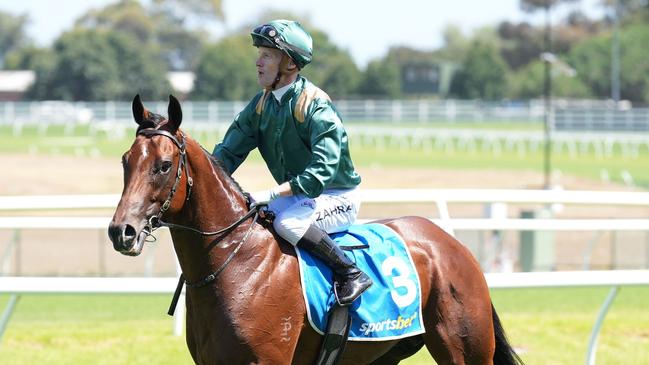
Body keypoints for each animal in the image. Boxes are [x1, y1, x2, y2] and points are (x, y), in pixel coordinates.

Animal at [106, 94, 520, 364]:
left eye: (163, 165)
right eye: (126, 160)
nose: (121, 231)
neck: (234, 264)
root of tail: (453, 246)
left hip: (465, 350)